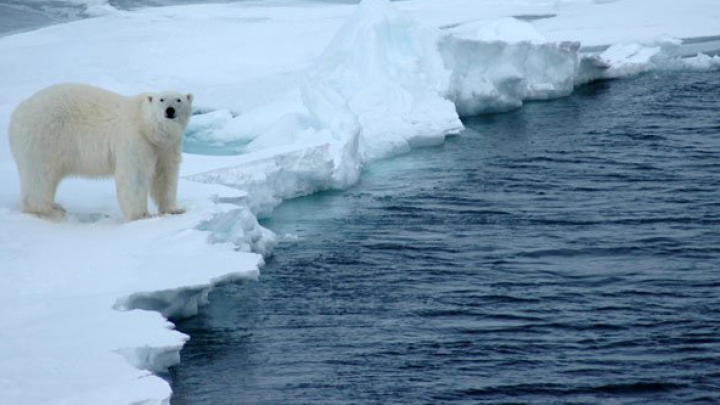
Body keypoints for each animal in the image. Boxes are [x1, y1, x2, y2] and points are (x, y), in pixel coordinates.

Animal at [8, 83, 193, 221]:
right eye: (161, 99)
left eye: (179, 100)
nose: (170, 110)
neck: (148, 129)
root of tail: (17, 113)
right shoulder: (134, 139)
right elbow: (135, 175)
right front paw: (140, 216)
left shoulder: (166, 146)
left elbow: (165, 175)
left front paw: (174, 209)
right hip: (45, 137)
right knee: (40, 175)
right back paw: (51, 212)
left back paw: (56, 206)